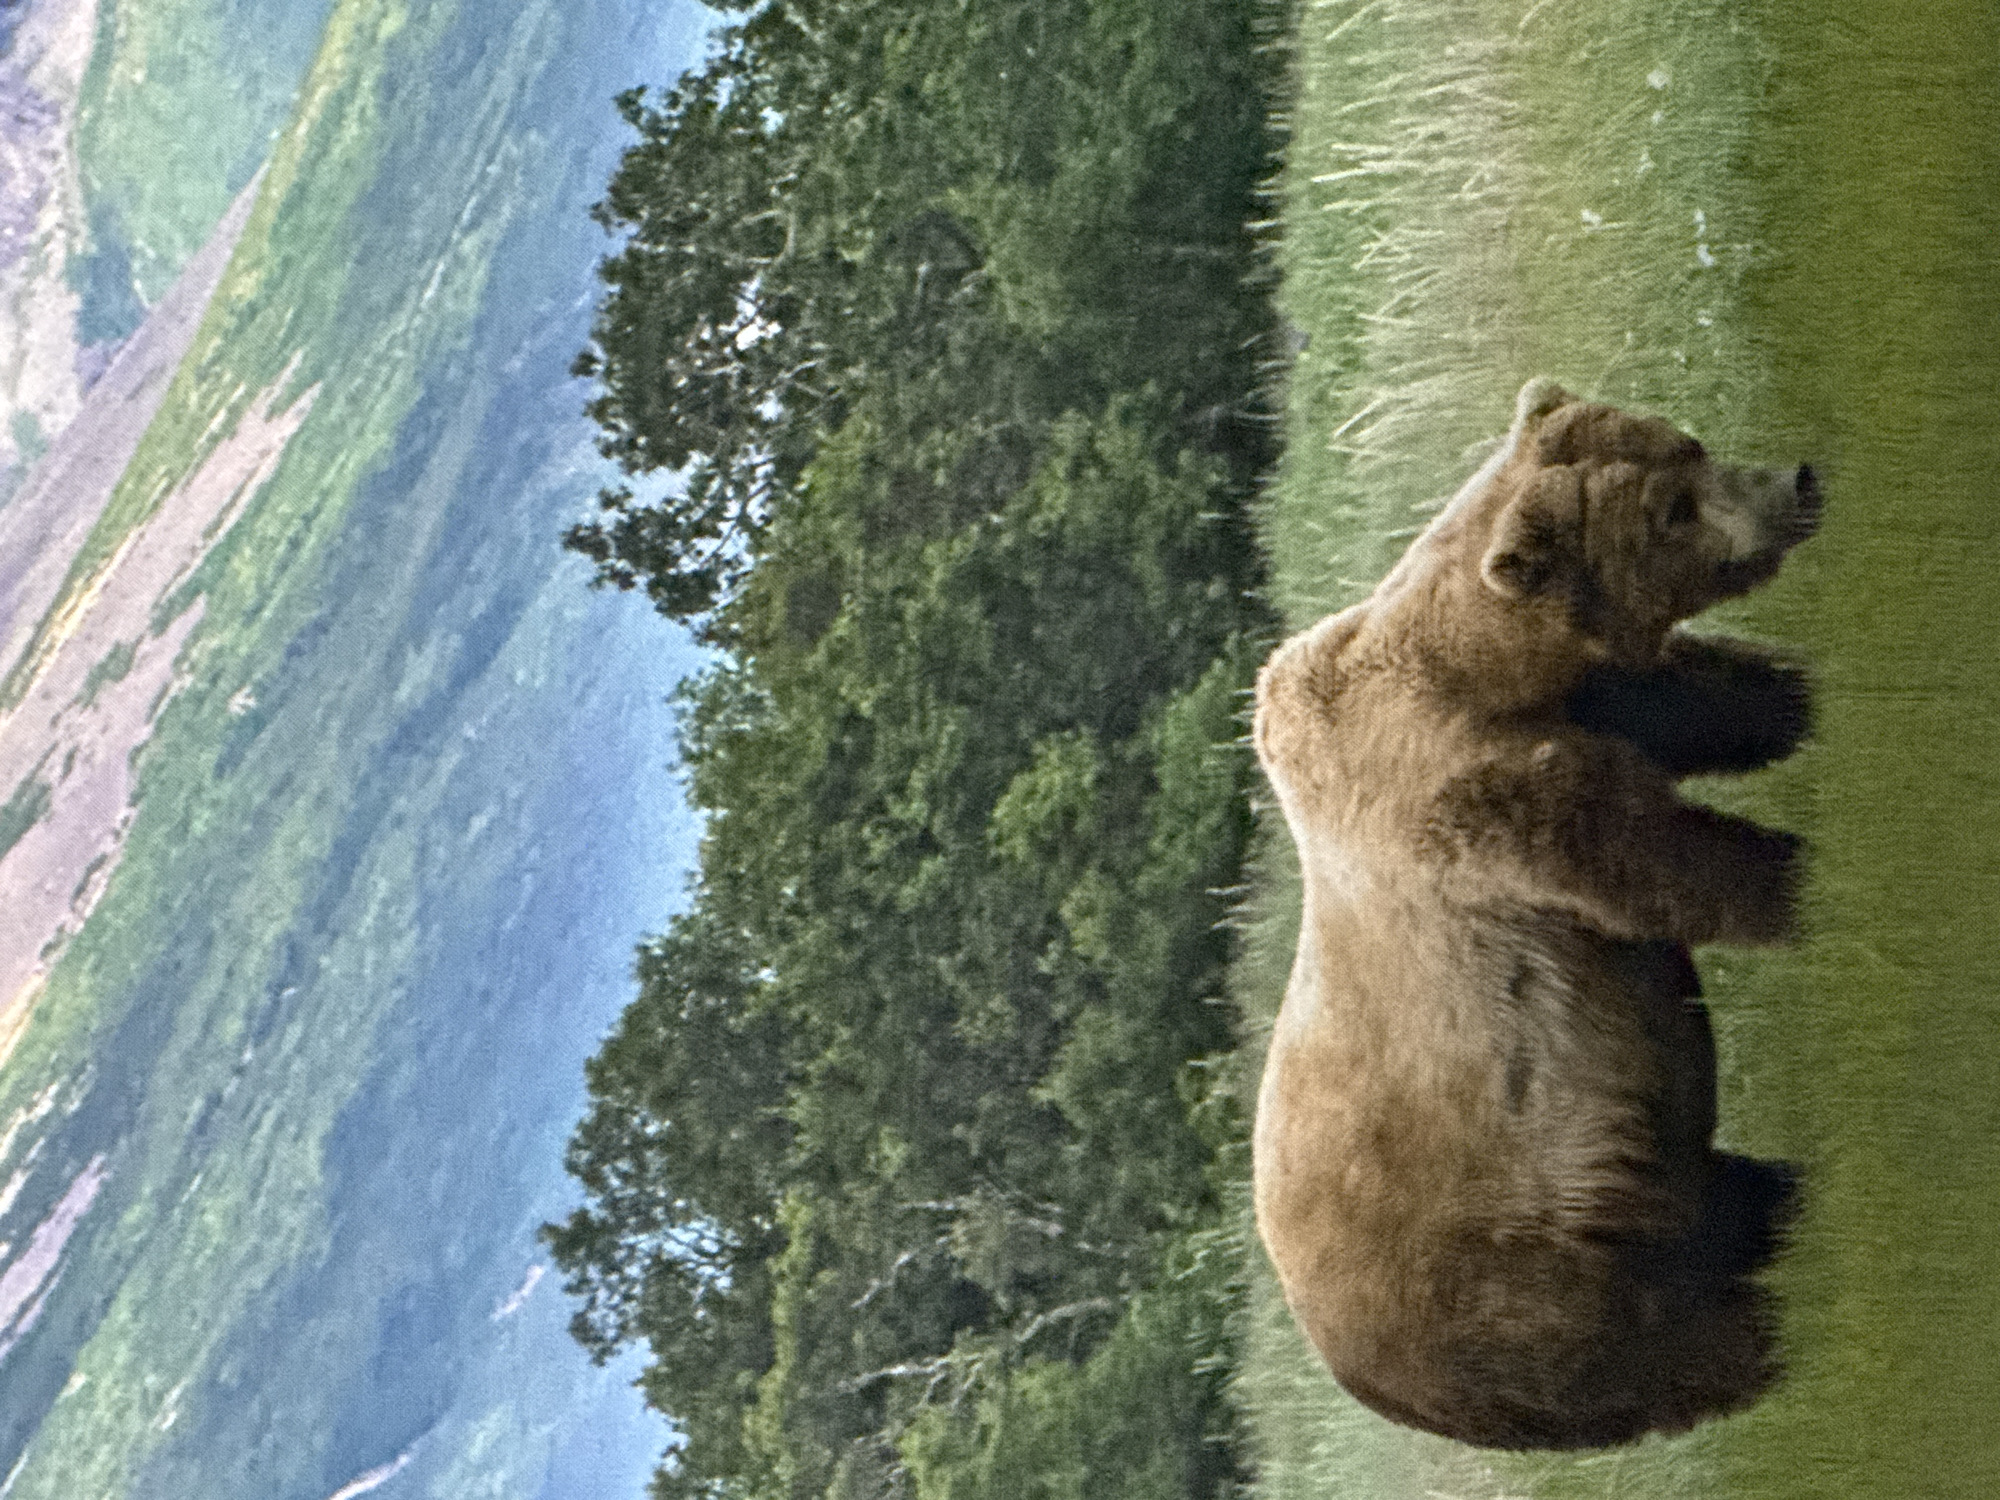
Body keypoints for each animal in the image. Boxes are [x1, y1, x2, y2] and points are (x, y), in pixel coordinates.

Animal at [1250, 378, 1816, 1450]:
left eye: (1686, 443)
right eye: (1670, 510)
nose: (1796, 481)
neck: (1486, 678)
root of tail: (1363, 1381)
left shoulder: (1611, 700)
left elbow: (1725, 701)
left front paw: (1804, 696)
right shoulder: (1486, 813)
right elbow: (1671, 863)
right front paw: (1812, 882)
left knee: (1715, 1205)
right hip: (1514, 1278)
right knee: (1671, 1344)